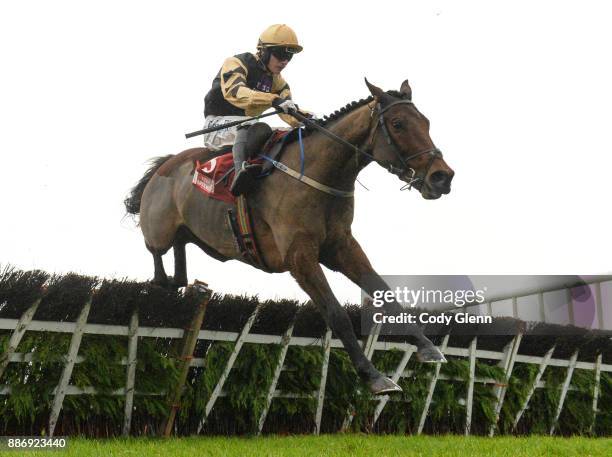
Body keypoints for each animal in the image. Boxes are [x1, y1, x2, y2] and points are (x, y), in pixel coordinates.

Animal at [125, 78, 454, 392]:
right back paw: (162, 283)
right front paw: (374, 377)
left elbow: (385, 293)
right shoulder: (299, 257)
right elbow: (336, 314)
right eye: (398, 124)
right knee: (157, 258)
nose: (442, 177)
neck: (318, 175)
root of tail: (166, 164)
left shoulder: (342, 246)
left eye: (426, 122)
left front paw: (427, 348)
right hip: (159, 230)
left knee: (179, 261)